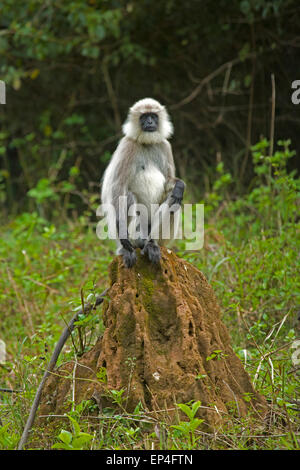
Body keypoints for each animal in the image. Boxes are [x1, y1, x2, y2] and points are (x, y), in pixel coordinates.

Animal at [101, 97, 185, 266]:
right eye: (144, 117)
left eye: (153, 116)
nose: (150, 122)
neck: (147, 144)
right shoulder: (127, 145)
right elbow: (118, 186)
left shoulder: (165, 145)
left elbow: (169, 181)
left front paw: (180, 185)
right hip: (134, 231)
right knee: (128, 196)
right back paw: (129, 247)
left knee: (174, 199)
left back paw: (151, 244)